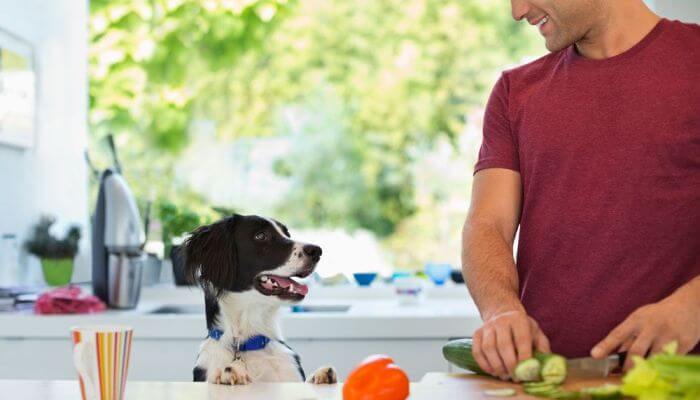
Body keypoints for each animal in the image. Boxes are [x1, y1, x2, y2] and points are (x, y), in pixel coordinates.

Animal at [182, 214, 338, 386]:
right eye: (261, 236)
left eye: (287, 234)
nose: (317, 251)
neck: (248, 344)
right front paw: (228, 374)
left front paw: (319, 376)